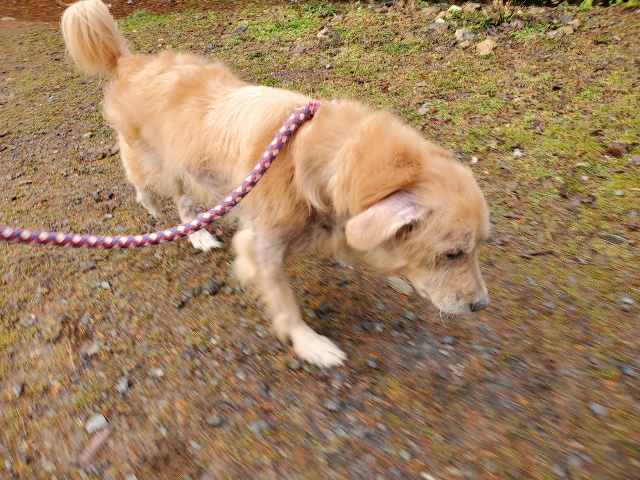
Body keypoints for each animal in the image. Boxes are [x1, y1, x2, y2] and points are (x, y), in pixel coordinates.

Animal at [61, 0, 490, 367]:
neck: (315, 157)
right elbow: (286, 303)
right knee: (149, 188)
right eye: (452, 254)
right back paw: (175, 221)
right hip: (160, 164)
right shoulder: (261, 246)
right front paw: (310, 344)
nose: (481, 306)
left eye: (475, 248)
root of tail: (130, 62)